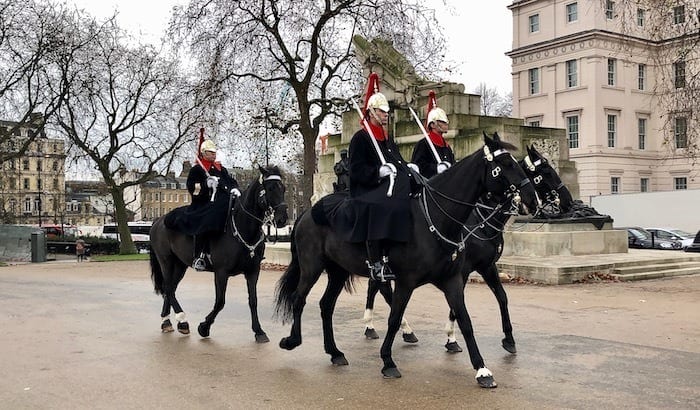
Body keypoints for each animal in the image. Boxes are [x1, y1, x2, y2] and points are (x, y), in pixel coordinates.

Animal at [150, 167, 288, 342]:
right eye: (270, 188)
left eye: (283, 188)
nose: (283, 218)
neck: (242, 229)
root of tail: (159, 220)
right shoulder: (221, 272)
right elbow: (220, 302)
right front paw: (204, 327)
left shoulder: (253, 271)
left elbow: (253, 300)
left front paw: (259, 331)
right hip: (166, 261)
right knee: (168, 287)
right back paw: (182, 319)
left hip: (180, 265)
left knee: (171, 288)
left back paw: (168, 322)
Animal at [274, 132, 536, 388]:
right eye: (504, 164)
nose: (531, 199)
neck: (435, 220)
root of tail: (307, 212)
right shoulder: (406, 281)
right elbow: (394, 317)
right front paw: (388, 361)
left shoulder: (452, 279)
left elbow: (465, 319)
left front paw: (482, 369)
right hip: (312, 267)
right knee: (299, 299)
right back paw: (292, 340)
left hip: (338, 271)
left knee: (326, 305)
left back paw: (335, 352)